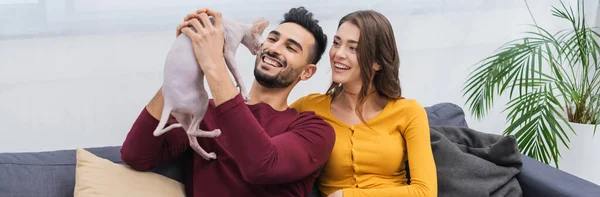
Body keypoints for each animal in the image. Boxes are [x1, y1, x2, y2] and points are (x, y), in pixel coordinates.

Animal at [151, 15, 270, 160]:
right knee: (192, 130)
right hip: (202, 99)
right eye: (262, 44)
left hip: (183, 115)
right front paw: (245, 94)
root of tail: (169, 102)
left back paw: (208, 155)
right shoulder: (228, 52)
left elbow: (235, 74)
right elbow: (237, 73)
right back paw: (214, 134)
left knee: (191, 137)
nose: (262, 53)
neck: (240, 27)